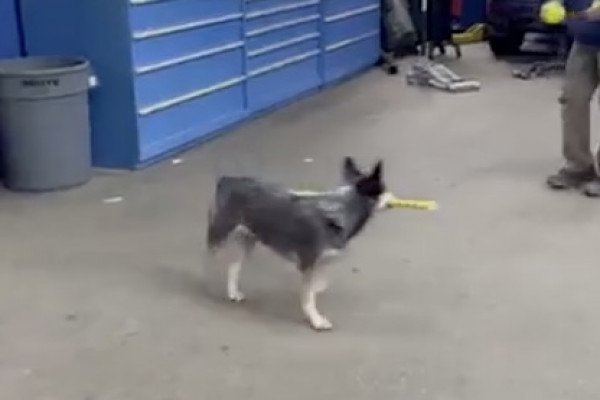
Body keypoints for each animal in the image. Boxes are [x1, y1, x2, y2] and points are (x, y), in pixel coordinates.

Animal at [204, 158, 386, 330]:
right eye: (383, 189)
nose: (391, 196)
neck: (340, 210)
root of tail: (228, 179)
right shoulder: (308, 265)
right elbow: (308, 297)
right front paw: (316, 320)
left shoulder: (318, 264)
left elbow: (316, 285)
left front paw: (317, 290)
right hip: (220, 235)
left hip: (248, 242)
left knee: (233, 267)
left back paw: (233, 293)